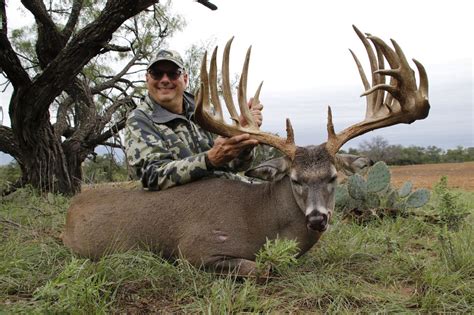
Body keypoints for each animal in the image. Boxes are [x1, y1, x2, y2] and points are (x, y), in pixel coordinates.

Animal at [62, 27, 430, 278]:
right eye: (295, 179)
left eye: (333, 177)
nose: (317, 218)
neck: (260, 222)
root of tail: (71, 207)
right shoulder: (194, 250)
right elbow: (264, 268)